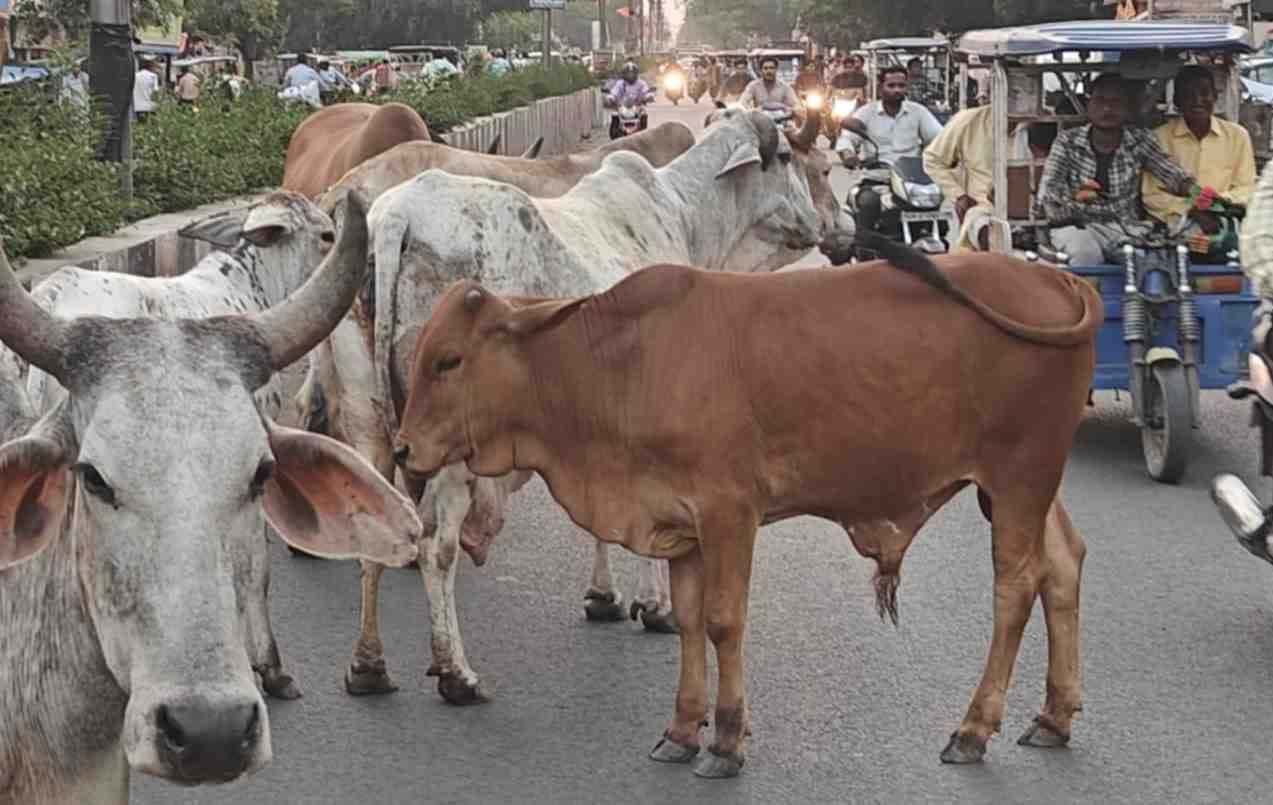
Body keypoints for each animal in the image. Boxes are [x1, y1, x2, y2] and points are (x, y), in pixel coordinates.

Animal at [333, 109, 828, 705]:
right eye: (788, 158)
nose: (818, 225)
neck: (685, 215)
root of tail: (396, 216)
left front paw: (604, 597)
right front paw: (655, 605)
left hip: (369, 419)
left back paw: (368, 664)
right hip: (450, 438)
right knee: (437, 547)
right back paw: (457, 673)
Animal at [391, 233, 1102, 778]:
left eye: (449, 360)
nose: (401, 448)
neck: (619, 364)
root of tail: (1056, 277)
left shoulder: (730, 514)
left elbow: (723, 622)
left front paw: (727, 740)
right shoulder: (678, 524)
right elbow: (686, 621)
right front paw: (682, 731)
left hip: (1019, 476)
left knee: (1016, 587)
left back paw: (973, 729)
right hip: (1017, 486)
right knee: (1063, 563)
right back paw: (1053, 715)